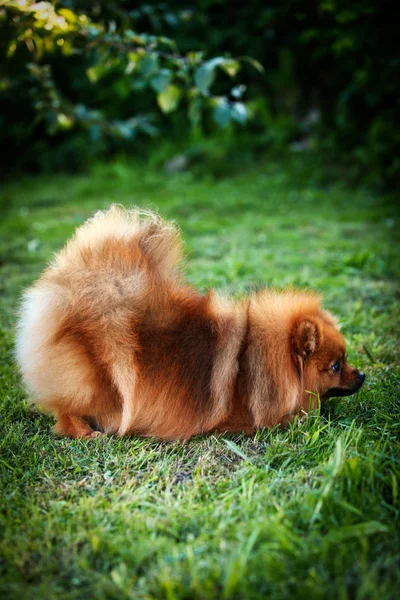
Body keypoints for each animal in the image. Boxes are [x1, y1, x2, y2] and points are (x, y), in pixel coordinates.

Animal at [15, 204, 366, 438]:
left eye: (347, 360)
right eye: (336, 366)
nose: (362, 374)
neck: (259, 361)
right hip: (93, 378)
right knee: (67, 410)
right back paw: (86, 431)